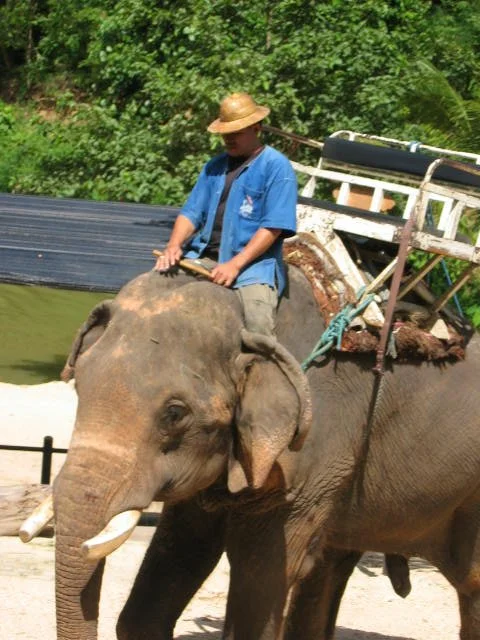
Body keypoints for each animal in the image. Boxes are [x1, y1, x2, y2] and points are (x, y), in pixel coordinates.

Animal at [25, 264, 480, 639]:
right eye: (78, 385)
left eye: (175, 413)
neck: (250, 319)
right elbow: (167, 574)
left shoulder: (314, 448)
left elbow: (262, 574)